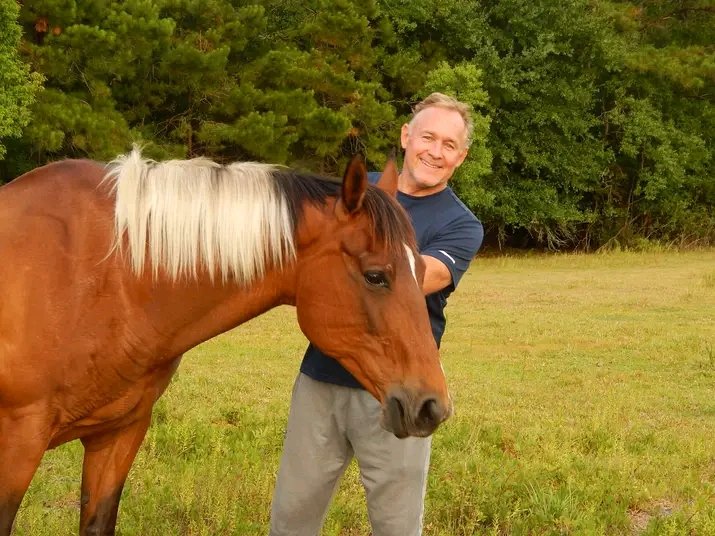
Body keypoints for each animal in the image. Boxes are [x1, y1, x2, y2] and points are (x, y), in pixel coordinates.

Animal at [0, 149, 452, 535]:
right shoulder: (17, 444)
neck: (101, 274)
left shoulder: (117, 435)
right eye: (376, 276)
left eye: (421, 271)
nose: (433, 406)